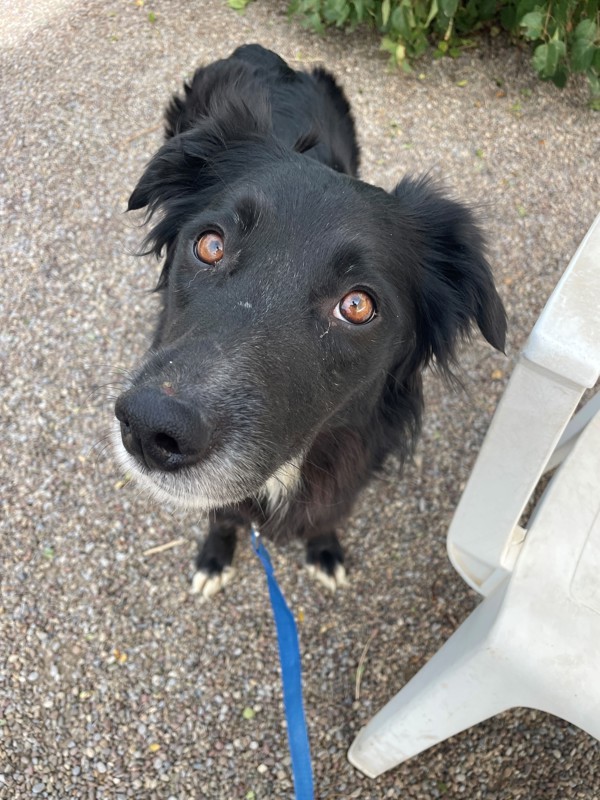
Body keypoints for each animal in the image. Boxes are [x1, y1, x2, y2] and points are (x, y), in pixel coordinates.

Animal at [113, 43, 506, 592]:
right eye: (210, 245)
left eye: (357, 305)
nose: (151, 429)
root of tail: (259, 51)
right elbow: (221, 516)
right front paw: (215, 555)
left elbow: (325, 517)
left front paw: (323, 549)